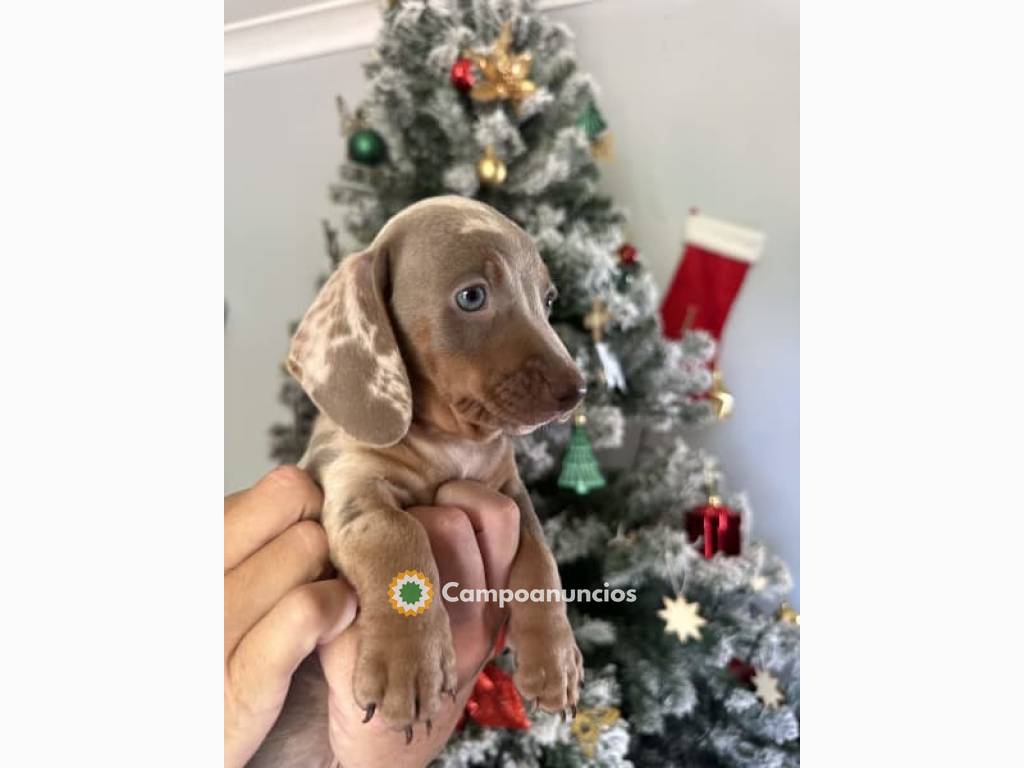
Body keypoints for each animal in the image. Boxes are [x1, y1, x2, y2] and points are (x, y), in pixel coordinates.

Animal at [284, 196, 585, 745]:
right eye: (472, 296)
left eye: (549, 300)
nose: (578, 390)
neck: (453, 441)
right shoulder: (350, 482)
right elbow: (396, 531)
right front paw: (410, 665)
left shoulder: (510, 493)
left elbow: (541, 559)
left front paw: (555, 659)